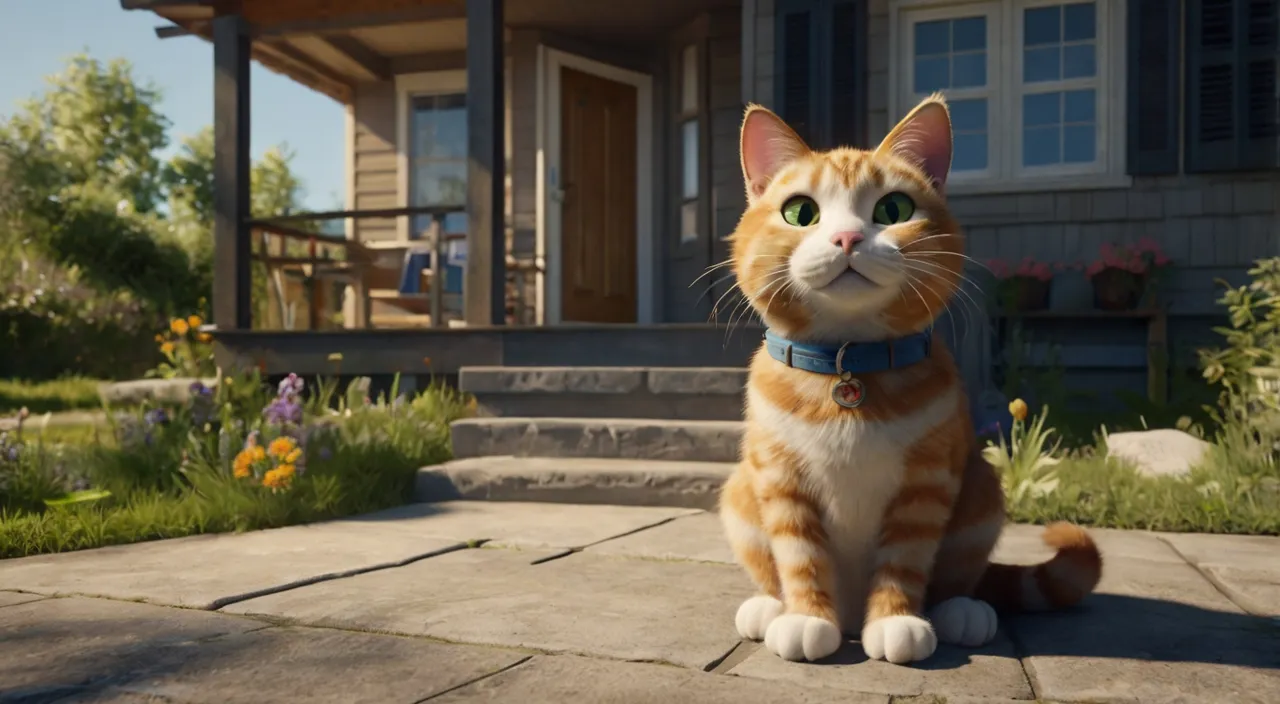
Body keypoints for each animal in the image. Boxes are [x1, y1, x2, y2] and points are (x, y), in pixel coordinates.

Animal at [721, 95, 1100, 665]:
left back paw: (961, 611)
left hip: (982, 493)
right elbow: (800, 557)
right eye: (801, 213)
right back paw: (769, 608)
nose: (847, 237)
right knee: (769, 571)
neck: (848, 367)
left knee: (962, 579)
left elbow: (904, 560)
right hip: (739, 494)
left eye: (893, 210)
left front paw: (896, 621)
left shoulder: (927, 483)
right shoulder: (781, 483)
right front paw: (807, 617)